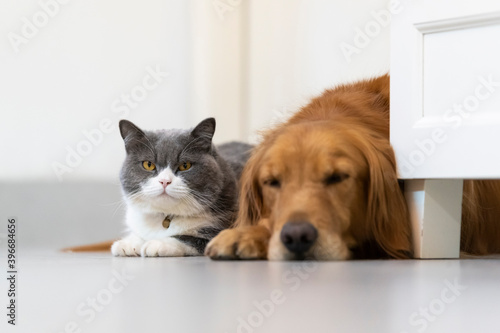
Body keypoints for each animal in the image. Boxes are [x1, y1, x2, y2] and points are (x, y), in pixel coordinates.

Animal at [109, 117, 250, 256]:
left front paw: (158, 243)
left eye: (185, 165)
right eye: (148, 164)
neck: (165, 216)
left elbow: (189, 238)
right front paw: (129, 243)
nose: (164, 181)